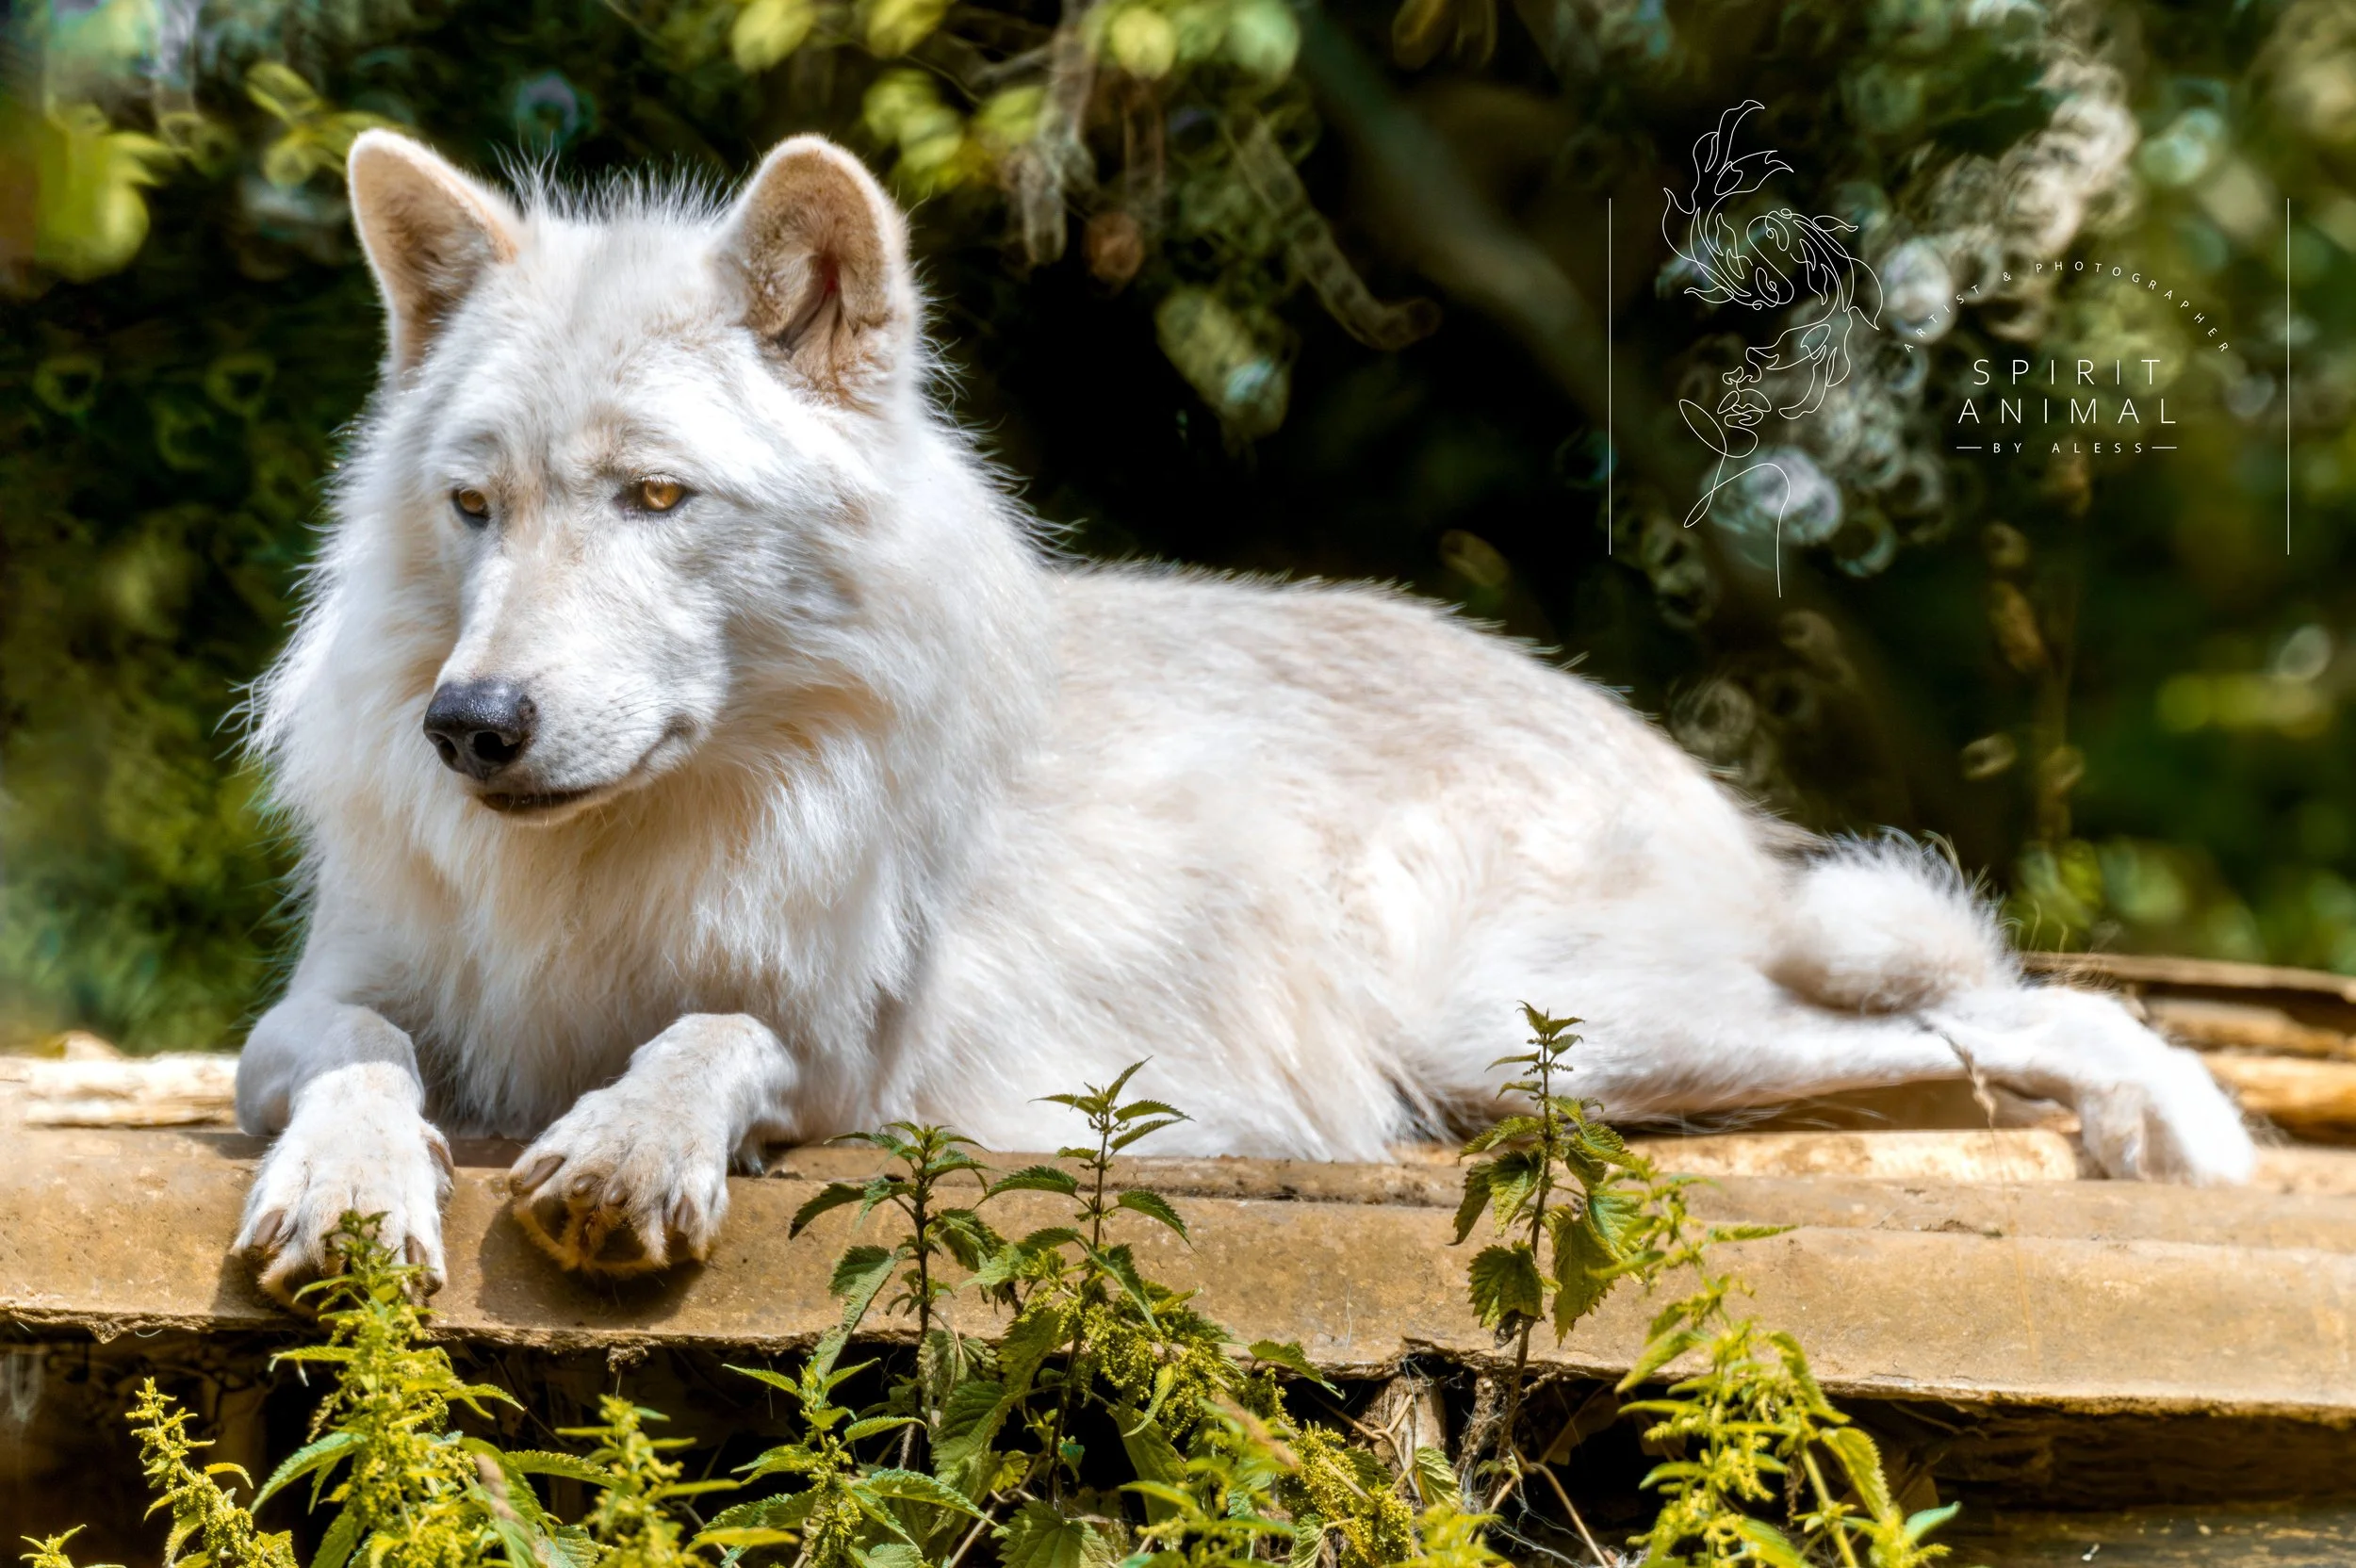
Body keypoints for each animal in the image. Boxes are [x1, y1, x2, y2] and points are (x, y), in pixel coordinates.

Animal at [231, 128, 2254, 1304]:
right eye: (474, 506)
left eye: (655, 498)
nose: (474, 723)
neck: (619, 863)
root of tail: (1615, 718)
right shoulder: (320, 1001)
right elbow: (355, 1051)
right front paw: (350, 1188)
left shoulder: (865, 1058)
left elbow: (717, 1033)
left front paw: (633, 1141)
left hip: (1539, 1021)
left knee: (1997, 999)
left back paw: (2181, 1126)